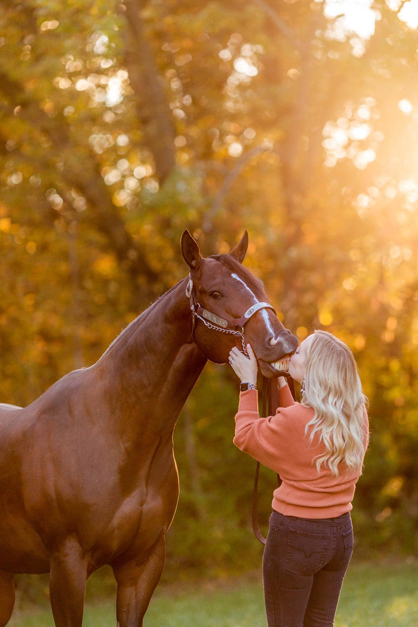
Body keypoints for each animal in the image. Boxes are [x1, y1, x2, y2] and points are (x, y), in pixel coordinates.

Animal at [0, 232, 298, 627]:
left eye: (259, 284)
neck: (113, 431)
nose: (283, 344)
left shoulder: (142, 564)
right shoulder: (66, 565)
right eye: (215, 292)